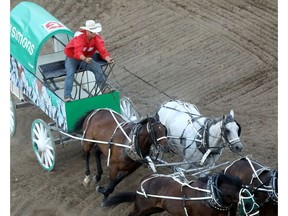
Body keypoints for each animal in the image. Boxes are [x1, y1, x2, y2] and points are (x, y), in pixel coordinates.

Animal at [103, 171, 258, 215]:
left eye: (242, 187)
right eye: (234, 190)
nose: (252, 204)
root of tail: (145, 180)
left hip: (154, 209)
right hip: (141, 208)